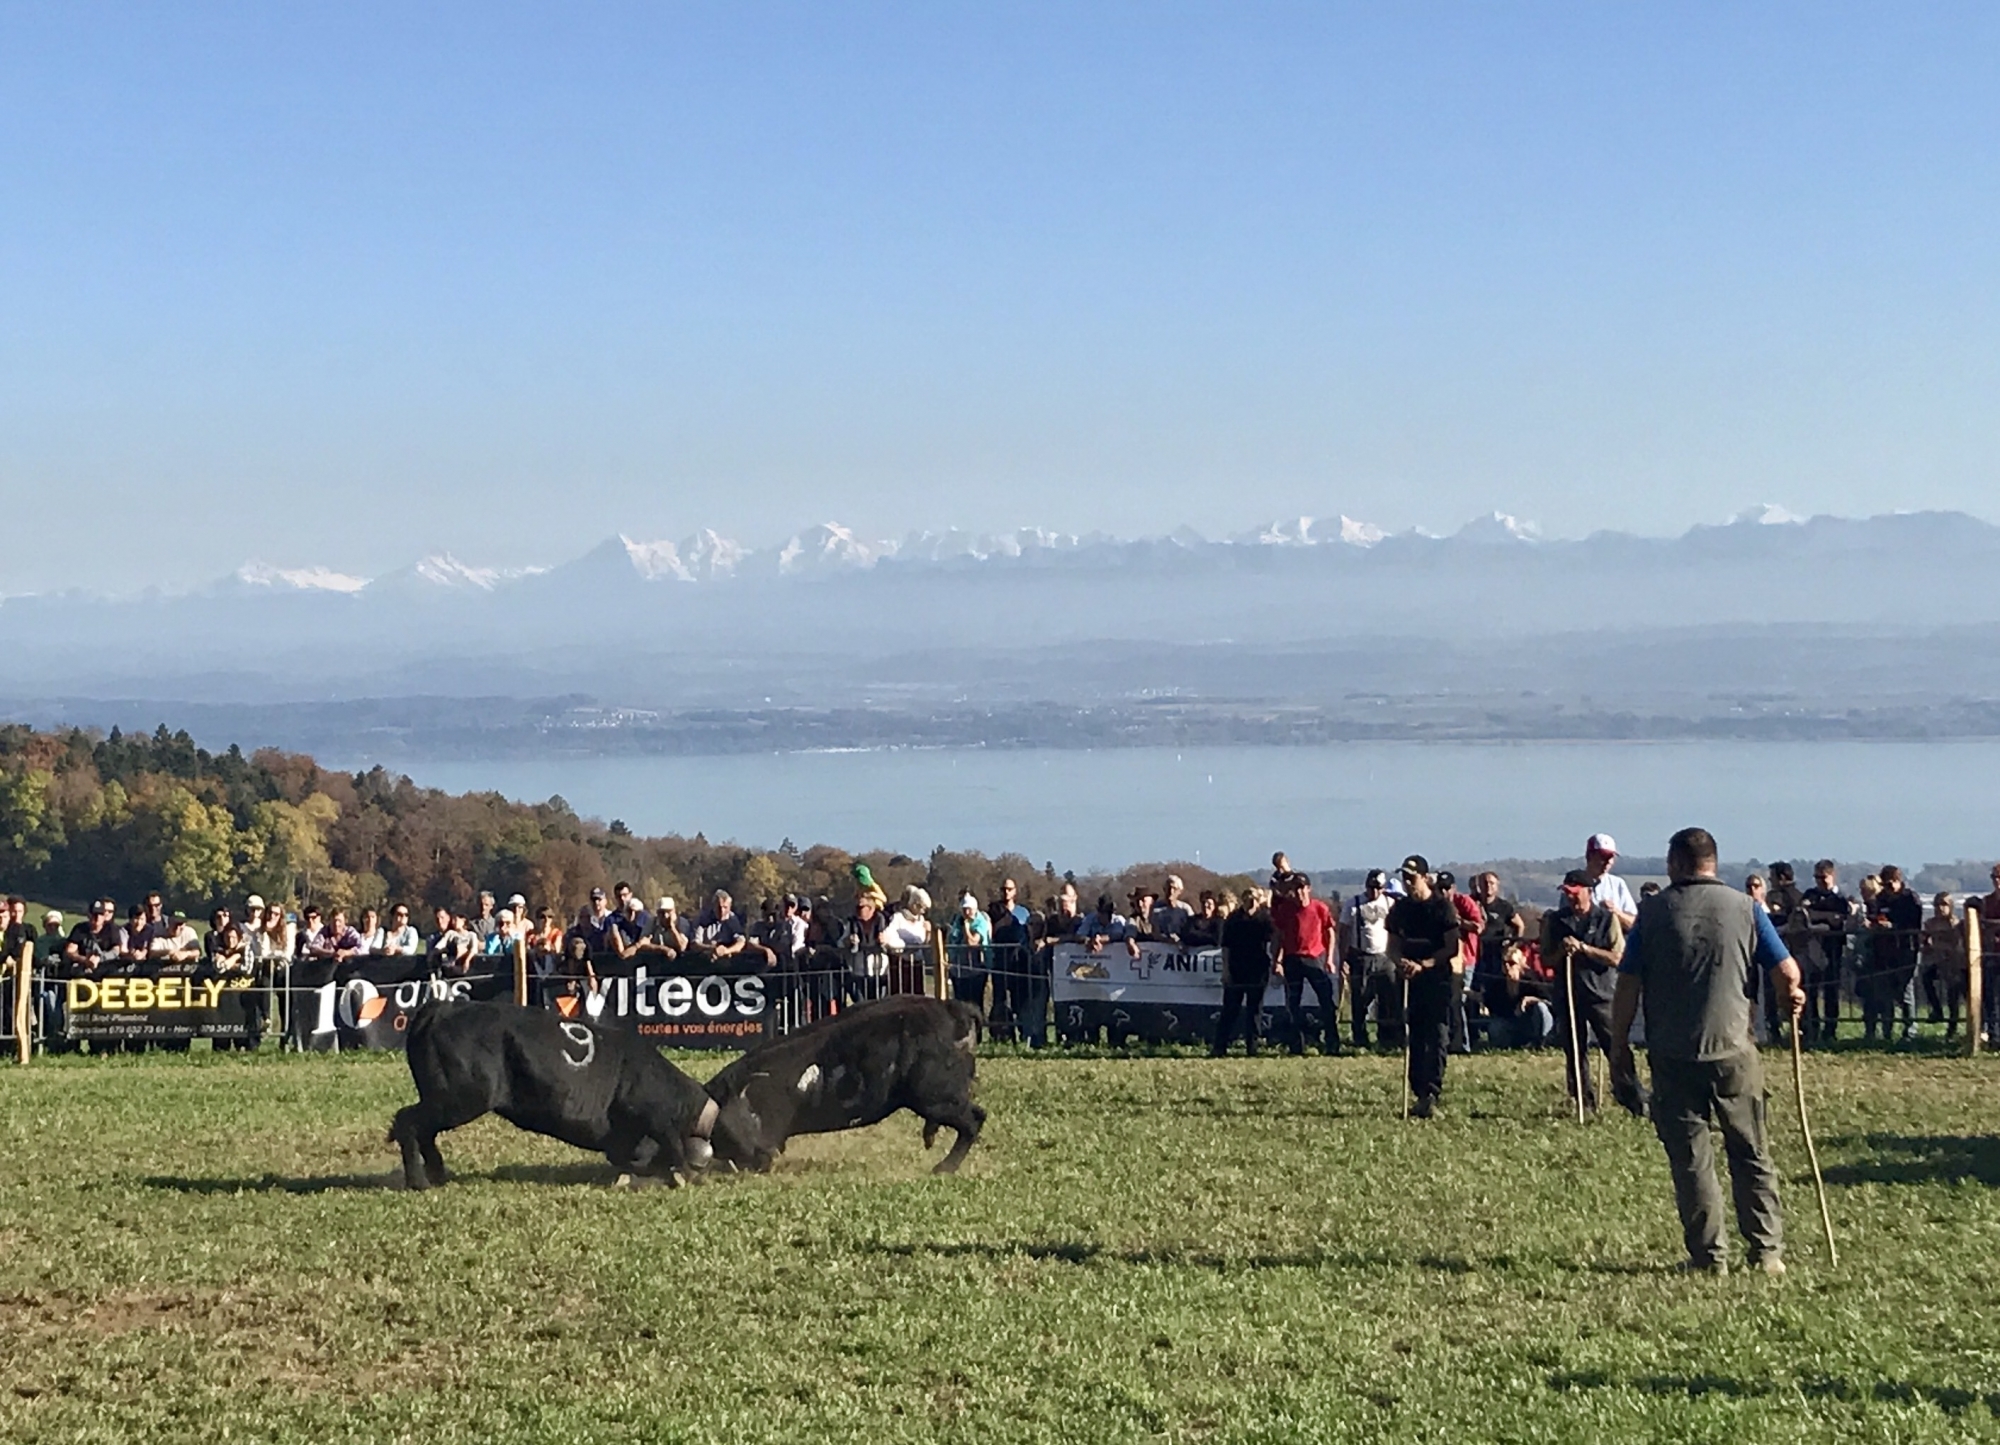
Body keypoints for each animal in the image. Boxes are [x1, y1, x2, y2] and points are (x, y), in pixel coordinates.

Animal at [386, 996, 724, 1184]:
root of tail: (442, 1007)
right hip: (460, 1099)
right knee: (408, 1121)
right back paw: (419, 1181)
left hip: (444, 1100)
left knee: (423, 1130)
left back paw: (437, 1174)